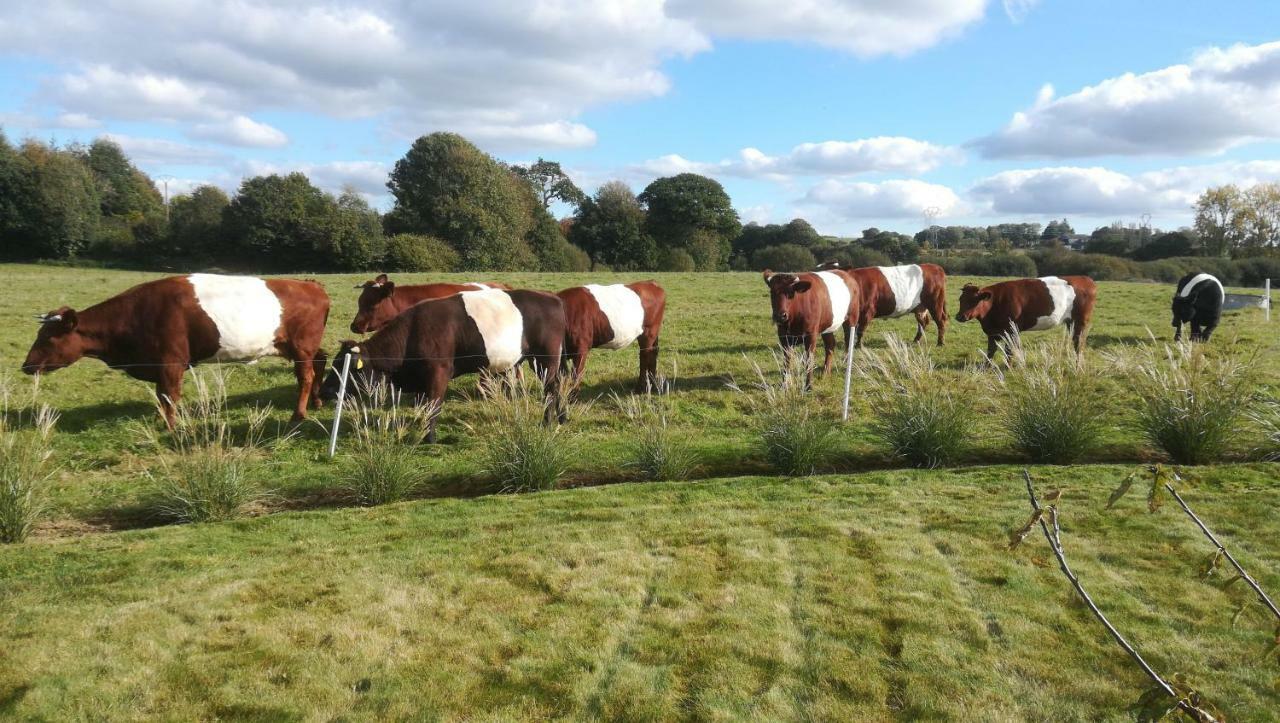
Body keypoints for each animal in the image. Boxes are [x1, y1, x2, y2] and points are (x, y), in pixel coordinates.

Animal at [21, 273, 330, 424]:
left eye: (49, 338)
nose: (26, 365)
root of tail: (311, 285)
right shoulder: (160, 367)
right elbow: (162, 397)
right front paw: (163, 420)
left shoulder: (171, 364)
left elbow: (170, 396)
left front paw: (171, 426)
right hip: (303, 348)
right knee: (321, 360)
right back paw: (316, 402)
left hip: (301, 348)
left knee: (305, 377)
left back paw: (299, 414)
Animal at [814, 261, 947, 348]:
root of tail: (935, 267)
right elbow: (855, 330)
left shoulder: (867, 311)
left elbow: (860, 330)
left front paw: (858, 346)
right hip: (920, 307)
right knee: (924, 322)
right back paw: (916, 340)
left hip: (935, 303)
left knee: (940, 321)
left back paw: (940, 343)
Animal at [957, 273, 1095, 358]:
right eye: (960, 299)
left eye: (974, 301)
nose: (959, 316)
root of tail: (1086, 279)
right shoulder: (992, 332)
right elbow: (990, 352)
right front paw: (985, 369)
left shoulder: (1012, 330)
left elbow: (1009, 351)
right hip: (1070, 322)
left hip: (1080, 322)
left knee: (1079, 344)